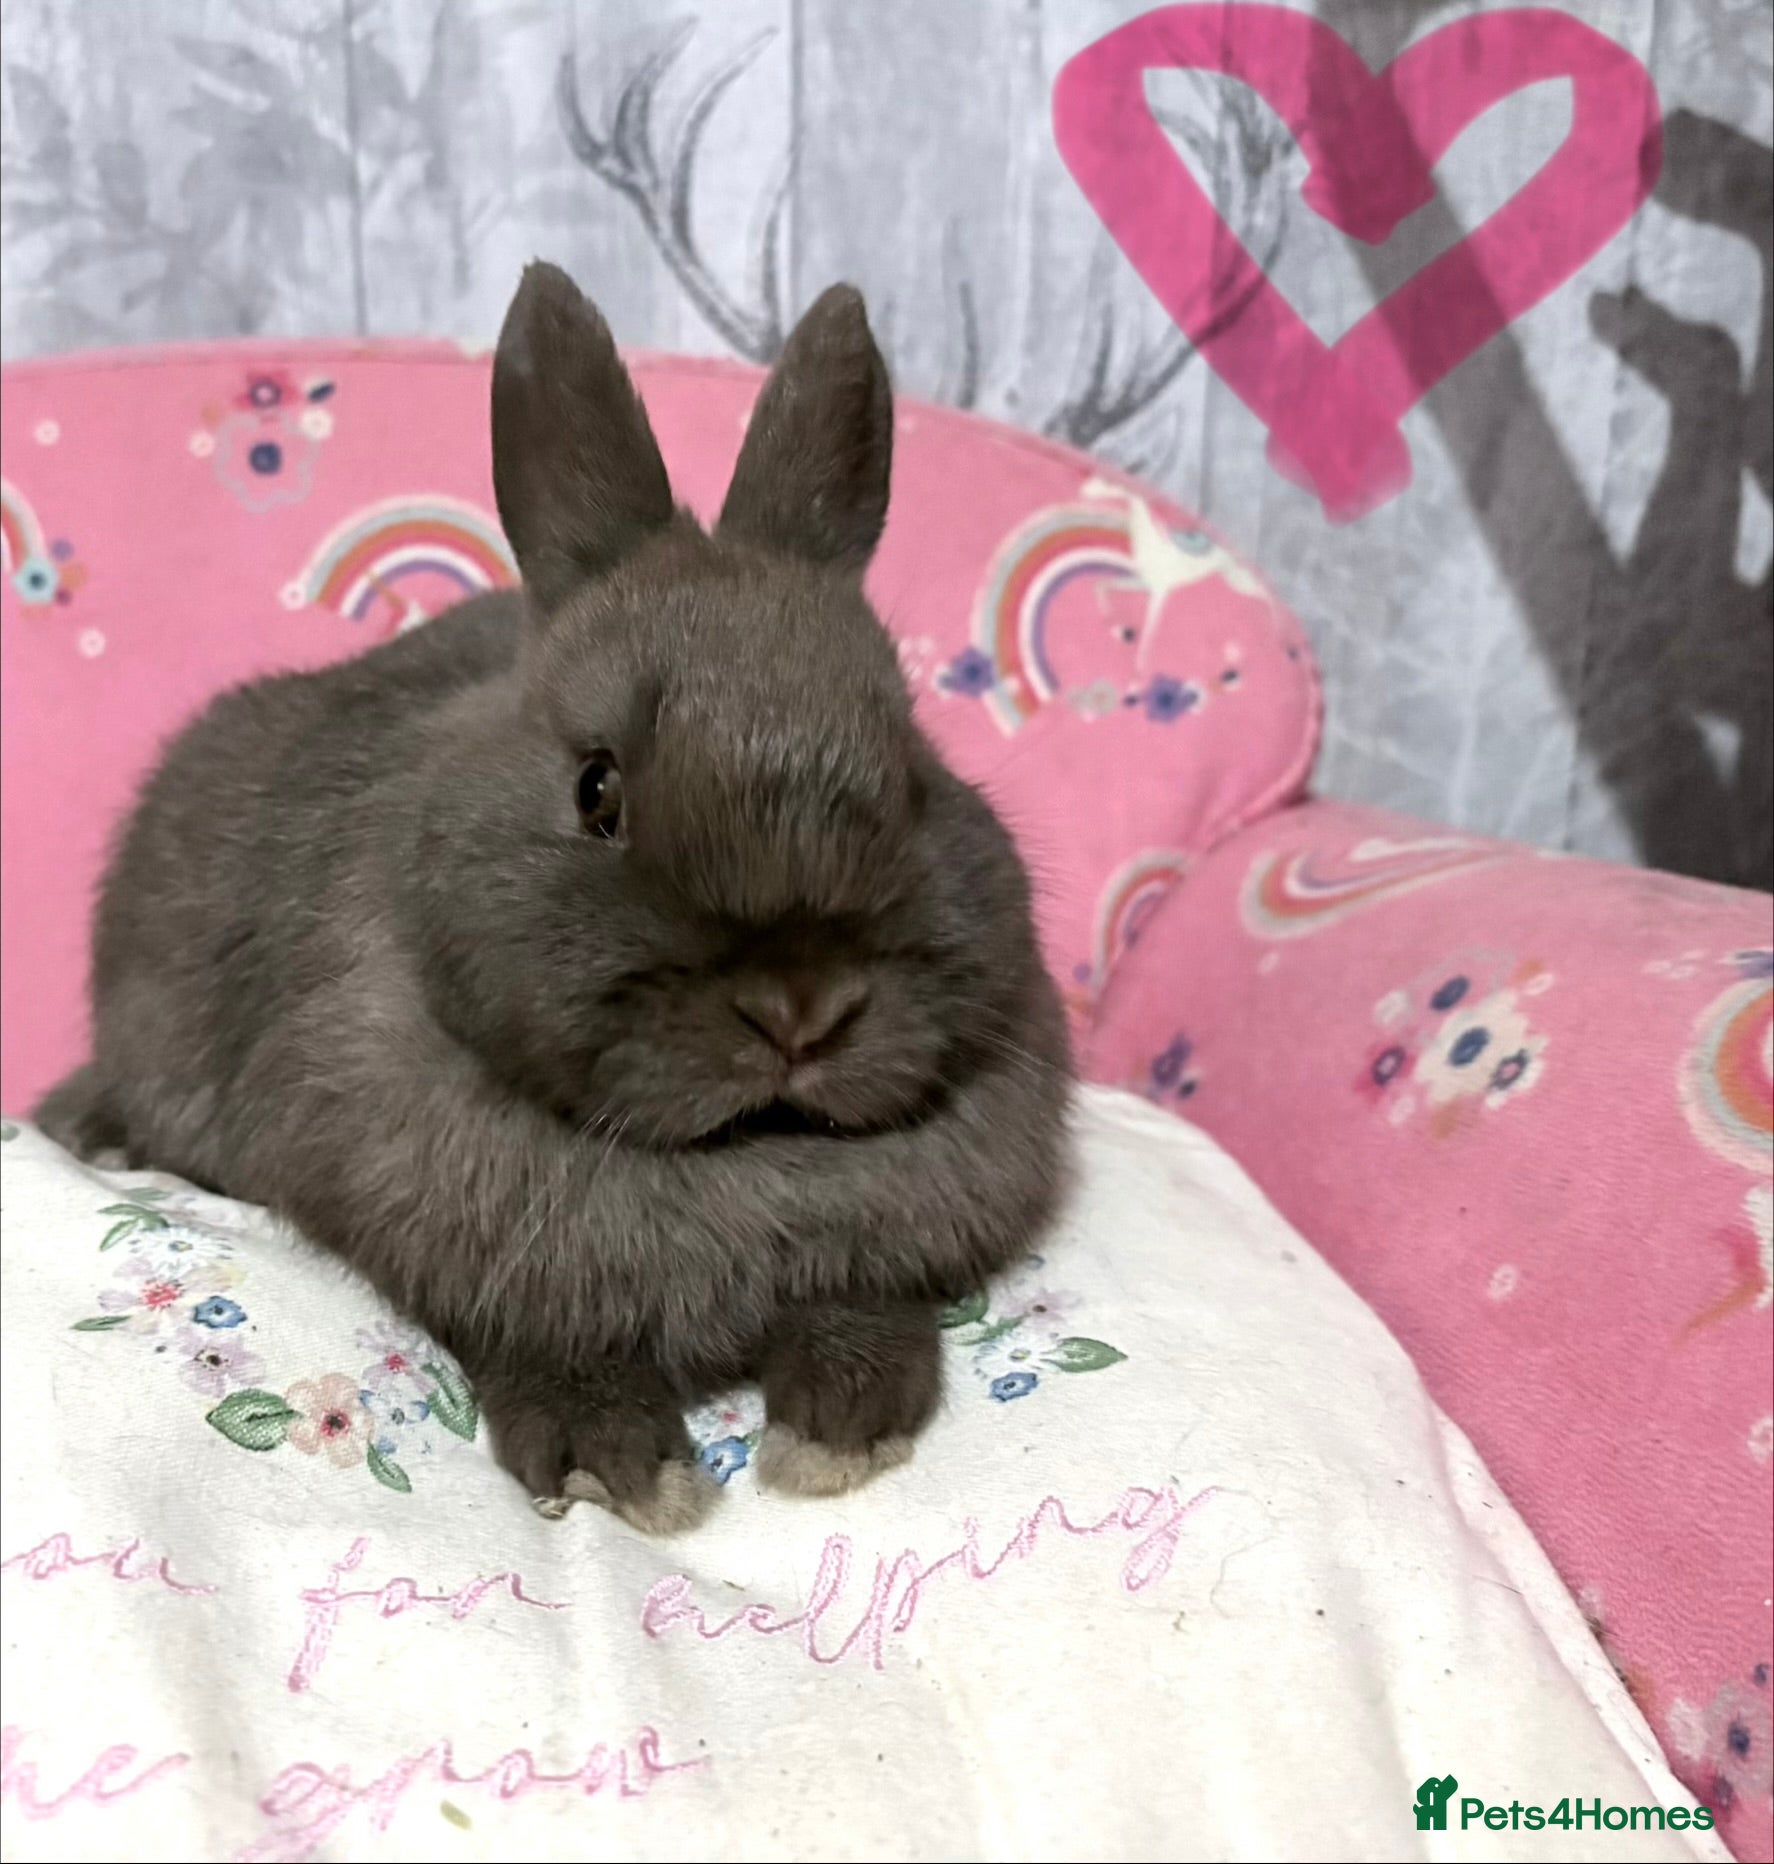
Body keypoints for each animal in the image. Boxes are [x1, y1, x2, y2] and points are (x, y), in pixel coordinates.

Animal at [35, 263, 1073, 1534]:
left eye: (914, 765)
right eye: (596, 789)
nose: (799, 1007)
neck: (739, 1158)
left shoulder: (875, 1265)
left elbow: (864, 1318)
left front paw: (837, 1436)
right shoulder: (475, 1265)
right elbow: (548, 1353)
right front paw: (622, 1473)